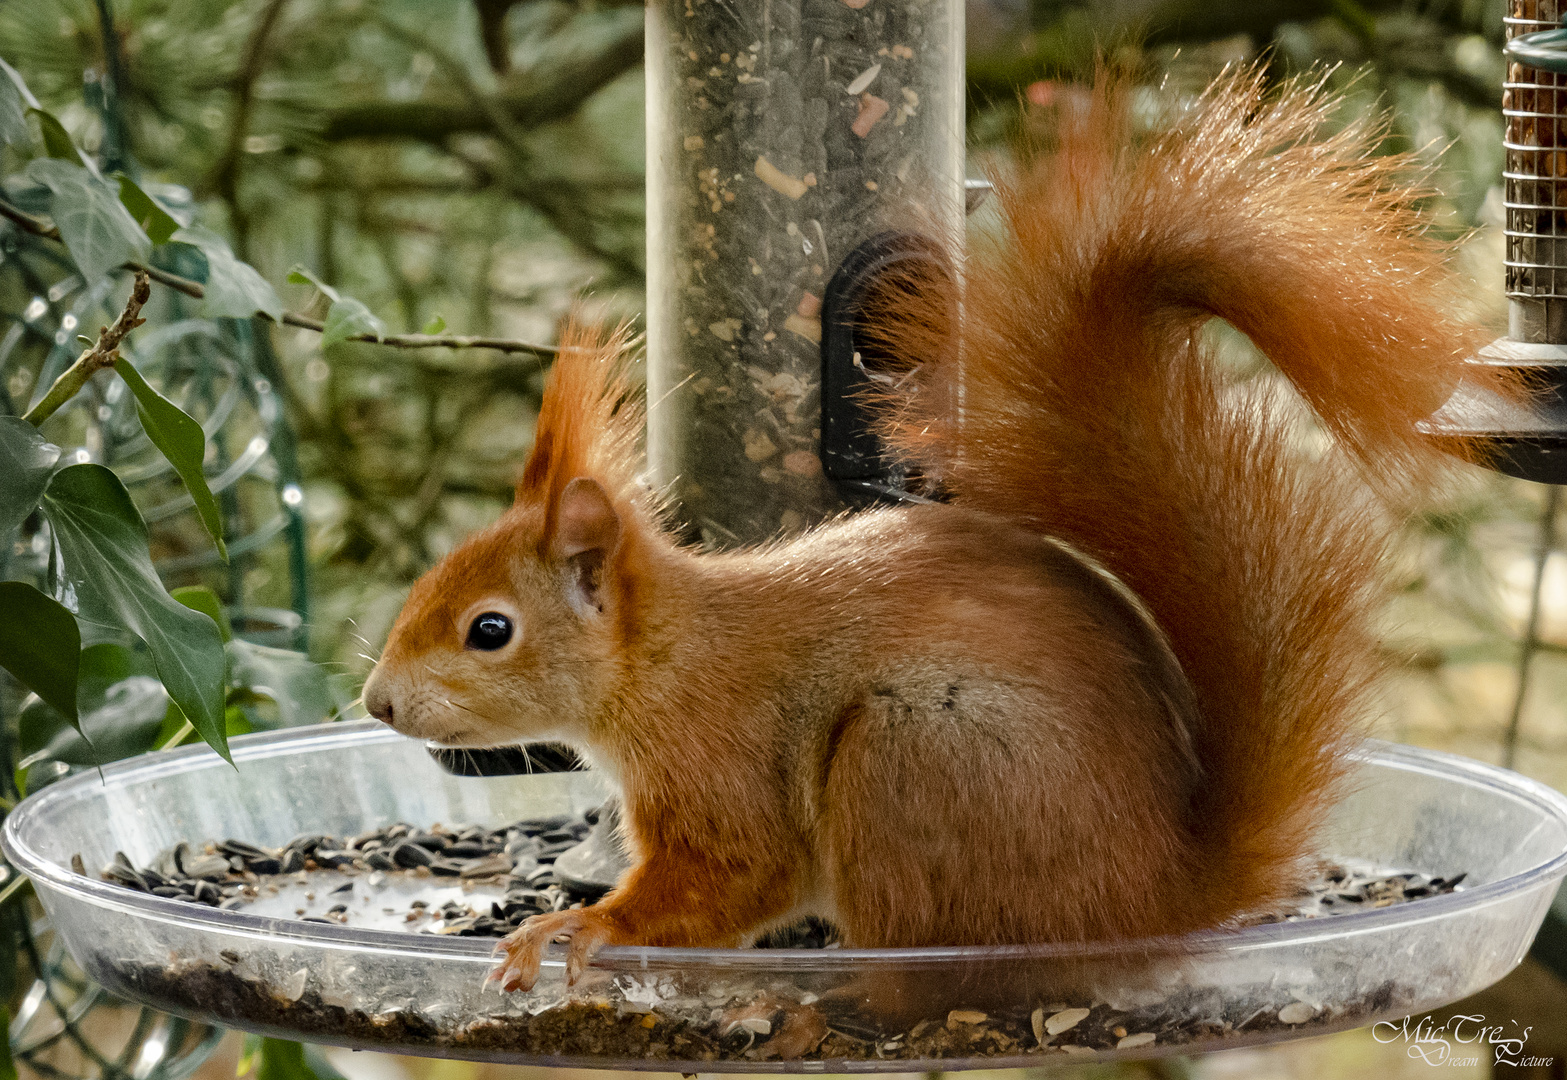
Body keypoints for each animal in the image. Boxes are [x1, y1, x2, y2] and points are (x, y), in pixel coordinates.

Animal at [358, 69, 1516, 996]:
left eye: (490, 630)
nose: (376, 704)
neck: (665, 658)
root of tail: (1153, 900)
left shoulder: (723, 763)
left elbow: (733, 874)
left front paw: (579, 925)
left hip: (909, 755)